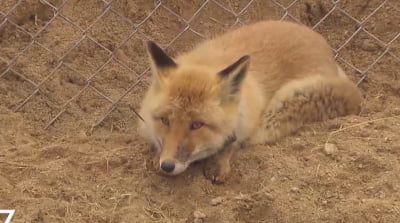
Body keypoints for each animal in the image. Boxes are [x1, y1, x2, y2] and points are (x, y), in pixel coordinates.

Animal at [137, 20, 362, 184]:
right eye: (165, 120)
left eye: (196, 125)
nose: (167, 165)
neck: (206, 64)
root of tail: (322, 43)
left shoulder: (248, 119)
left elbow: (232, 143)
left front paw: (220, 160)